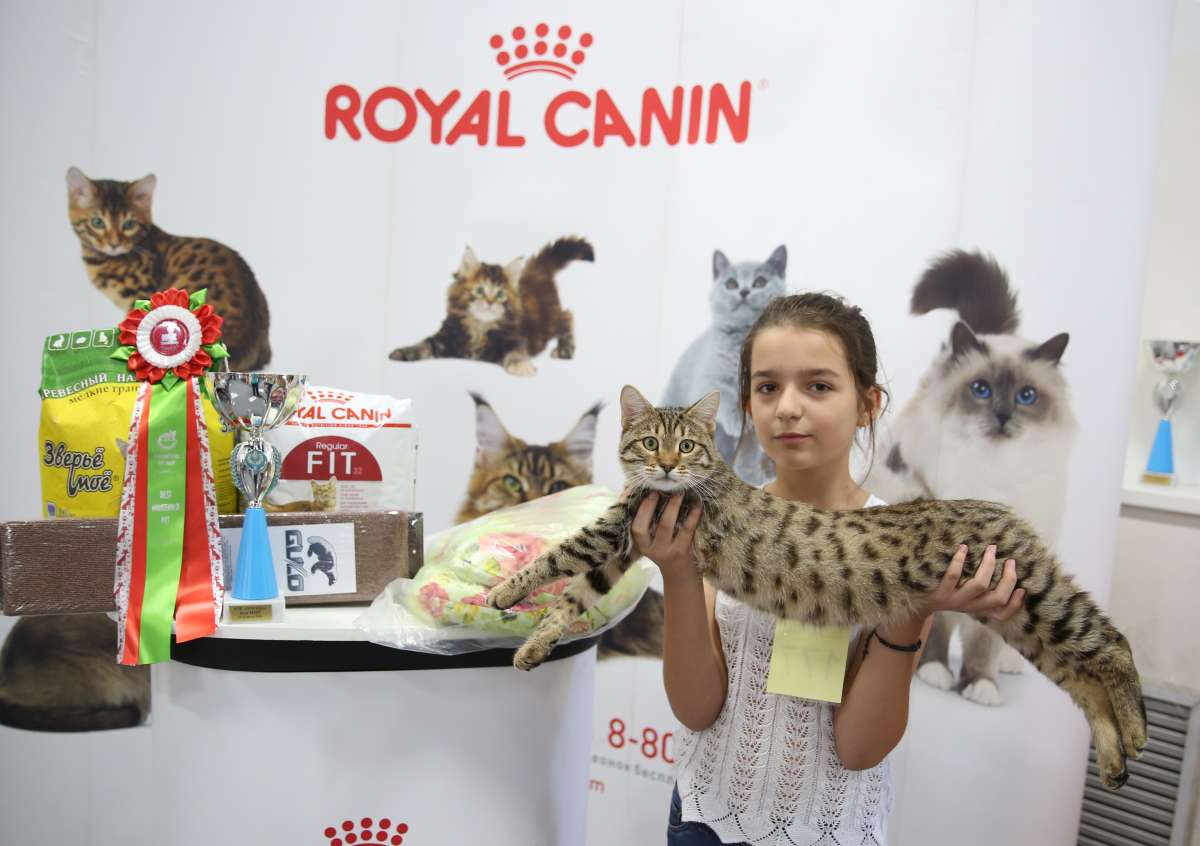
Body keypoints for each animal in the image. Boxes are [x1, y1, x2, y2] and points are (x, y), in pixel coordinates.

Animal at [389, 237, 593, 376]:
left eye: (500, 295)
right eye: (479, 291)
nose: (489, 302)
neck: (479, 328)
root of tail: (536, 270)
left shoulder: (513, 340)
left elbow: (516, 353)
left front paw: (521, 365)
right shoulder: (443, 338)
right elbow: (422, 344)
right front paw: (403, 352)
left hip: (550, 321)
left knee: (567, 316)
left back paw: (565, 349)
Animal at [485, 386, 1146, 791]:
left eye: (688, 444)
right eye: (650, 441)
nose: (669, 464)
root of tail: (1006, 512)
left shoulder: (614, 531)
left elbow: (557, 555)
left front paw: (500, 593)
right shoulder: (625, 546)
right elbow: (573, 595)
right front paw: (533, 644)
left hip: (1039, 598)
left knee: (1112, 645)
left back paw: (1136, 728)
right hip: (1016, 616)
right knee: (1081, 680)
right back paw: (1114, 754)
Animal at [662, 246, 786, 487]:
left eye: (760, 282)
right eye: (731, 284)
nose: (744, 291)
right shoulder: (709, 375)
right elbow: (725, 394)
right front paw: (736, 418)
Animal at [869, 250, 1076, 706]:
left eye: (1026, 396)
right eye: (981, 389)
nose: (1002, 416)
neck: (990, 473)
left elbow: (983, 642)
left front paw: (980, 685)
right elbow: (940, 625)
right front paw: (934, 672)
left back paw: (1008, 667)